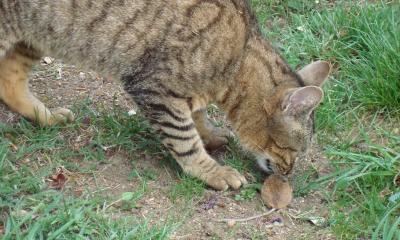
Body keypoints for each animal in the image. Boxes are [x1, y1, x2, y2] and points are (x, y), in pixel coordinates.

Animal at [0, 0, 330, 190]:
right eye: (293, 150)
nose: (288, 173)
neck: (239, 55)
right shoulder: (155, 89)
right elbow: (185, 140)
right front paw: (213, 172)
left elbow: (198, 116)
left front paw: (211, 135)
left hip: (33, 36)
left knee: (10, 80)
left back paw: (47, 117)